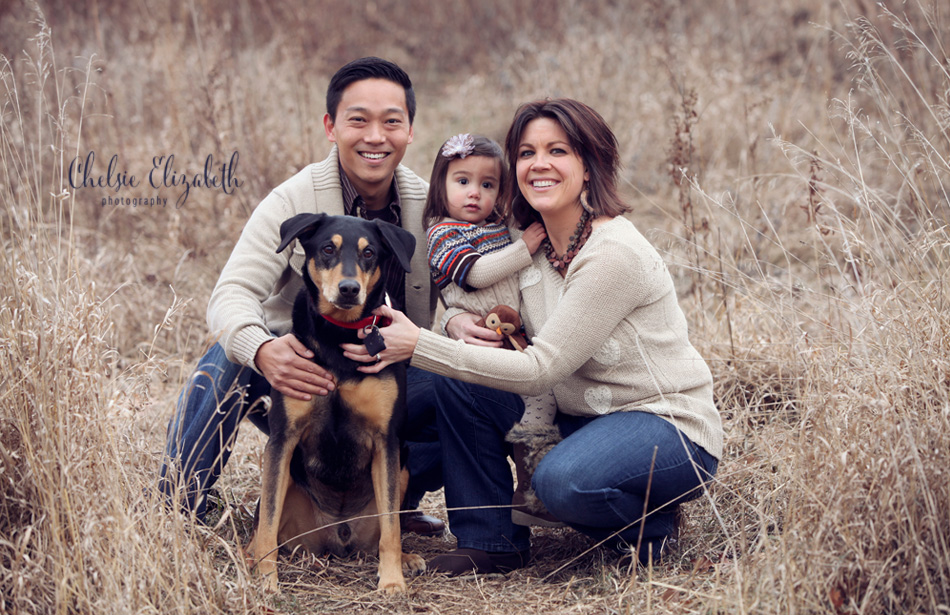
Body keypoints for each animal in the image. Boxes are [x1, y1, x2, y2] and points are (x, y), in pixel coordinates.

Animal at [247, 212, 426, 592]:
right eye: (328, 248)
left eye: (369, 253)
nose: (348, 289)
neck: (339, 333)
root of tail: (339, 537)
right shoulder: (282, 438)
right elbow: (267, 521)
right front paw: (267, 581)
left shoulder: (386, 440)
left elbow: (392, 528)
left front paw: (392, 581)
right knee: (260, 530)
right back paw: (250, 559)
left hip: (403, 463)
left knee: (387, 528)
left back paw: (406, 559)